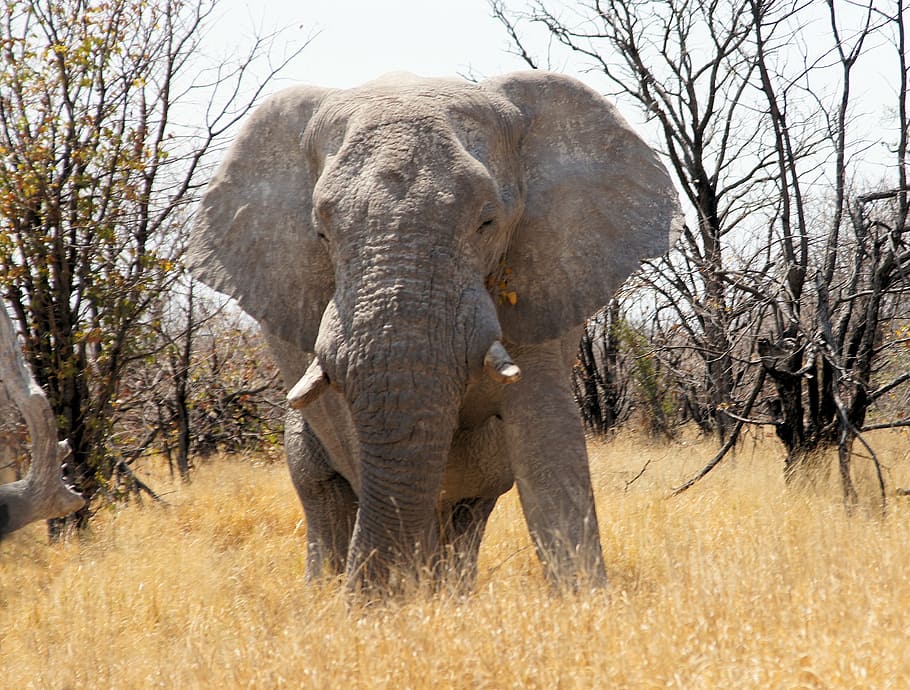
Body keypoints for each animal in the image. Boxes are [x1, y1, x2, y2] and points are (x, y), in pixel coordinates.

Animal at [187, 71, 681, 594]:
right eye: (321, 232)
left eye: (488, 221)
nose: (366, 601)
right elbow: (365, 444)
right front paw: (403, 601)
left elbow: (549, 445)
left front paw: (582, 600)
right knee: (325, 495)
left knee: (468, 511)